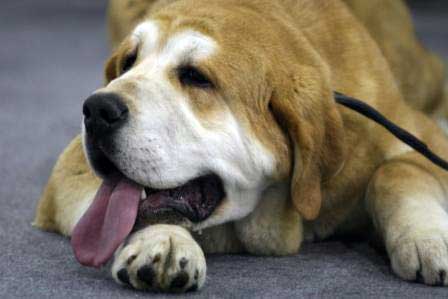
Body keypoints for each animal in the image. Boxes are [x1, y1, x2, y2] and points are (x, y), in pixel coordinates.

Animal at [34, 0, 448, 292]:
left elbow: (395, 171)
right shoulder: (72, 166)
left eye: (195, 77)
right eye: (128, 63)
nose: (97, 109)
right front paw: (163, 239)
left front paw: (428, 237)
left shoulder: (419, 137)